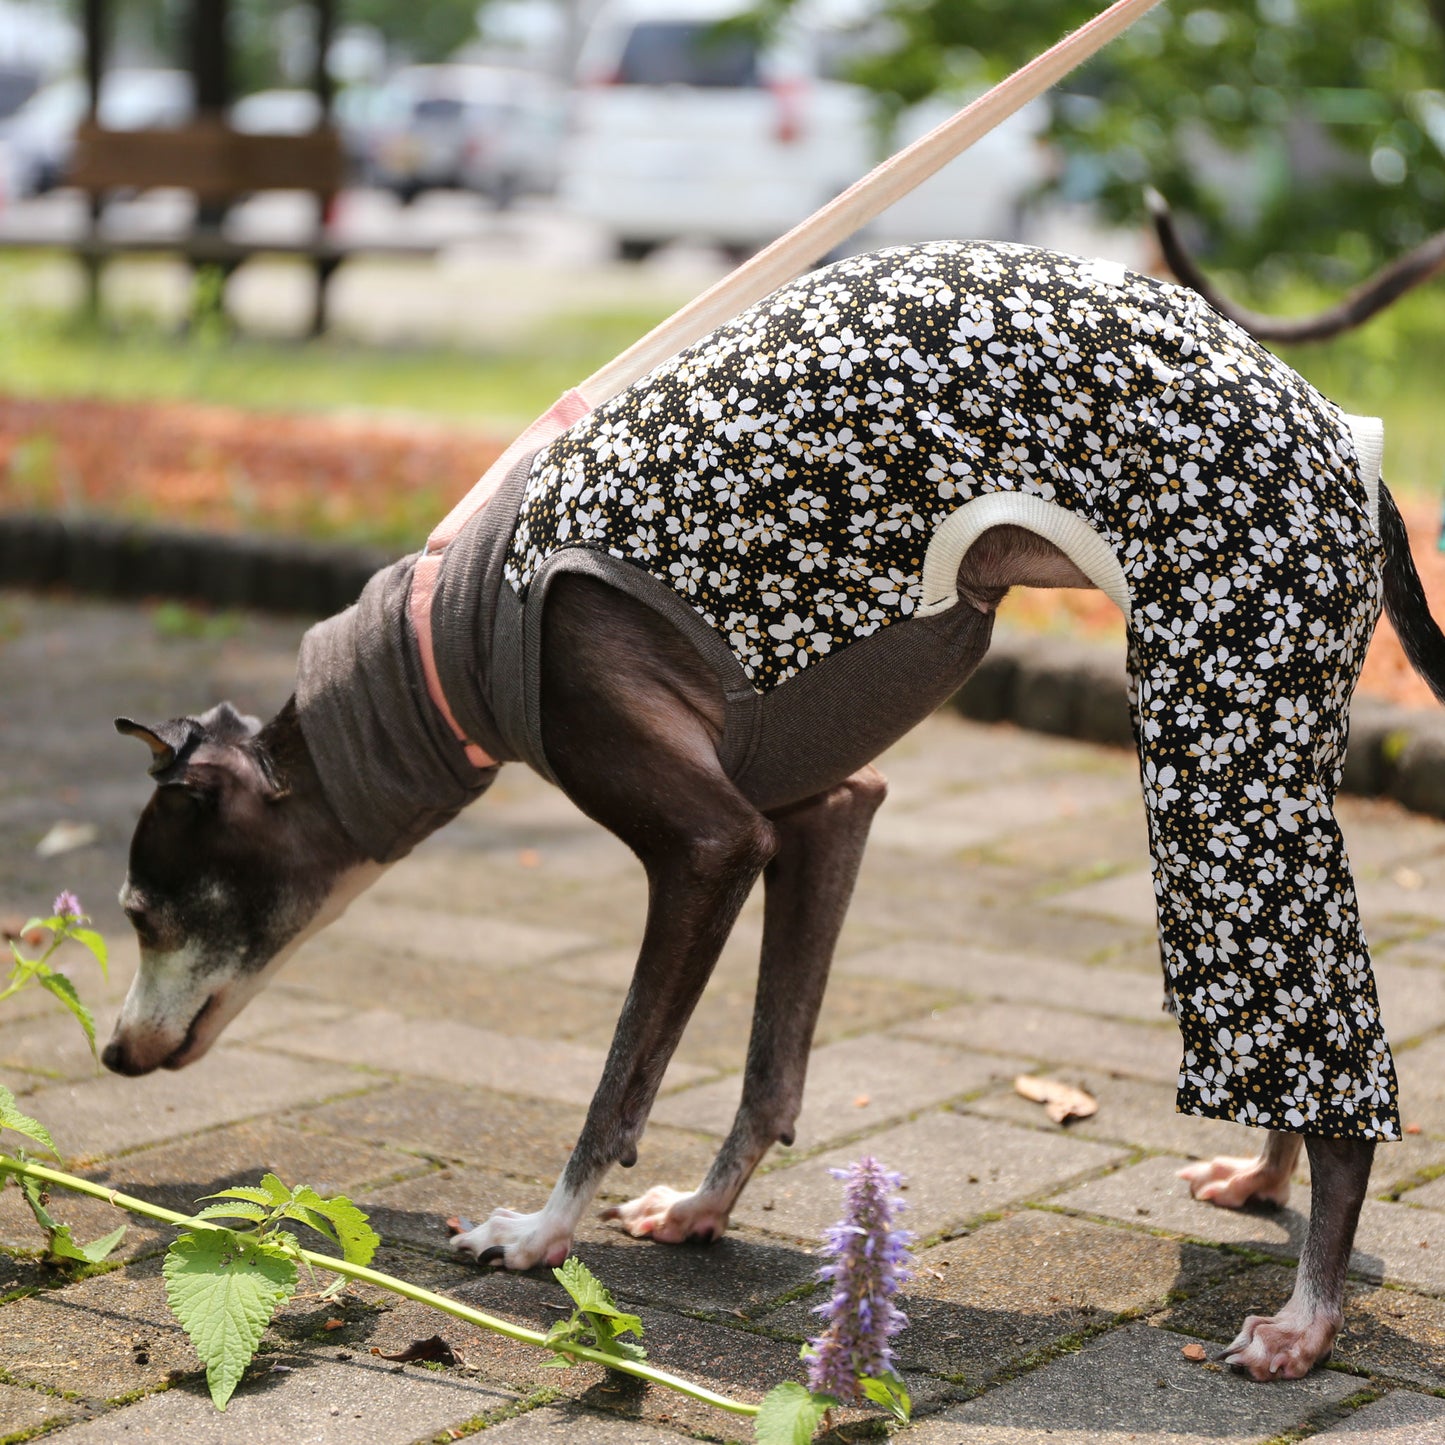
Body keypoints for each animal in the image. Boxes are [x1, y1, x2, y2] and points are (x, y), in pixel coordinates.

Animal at [101, 242, 1433, 1381]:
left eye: (142, 911)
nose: (112, 1053)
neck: (452, 645)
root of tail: (1341, 432)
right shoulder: (821, 811)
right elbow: (769, 1065)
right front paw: (702, 1206)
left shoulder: (705, 844)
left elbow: (623, 1076)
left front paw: (539, 1233)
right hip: (1272, 741)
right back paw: (1261, 1174)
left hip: (1219, 710)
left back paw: (1305, 1318)